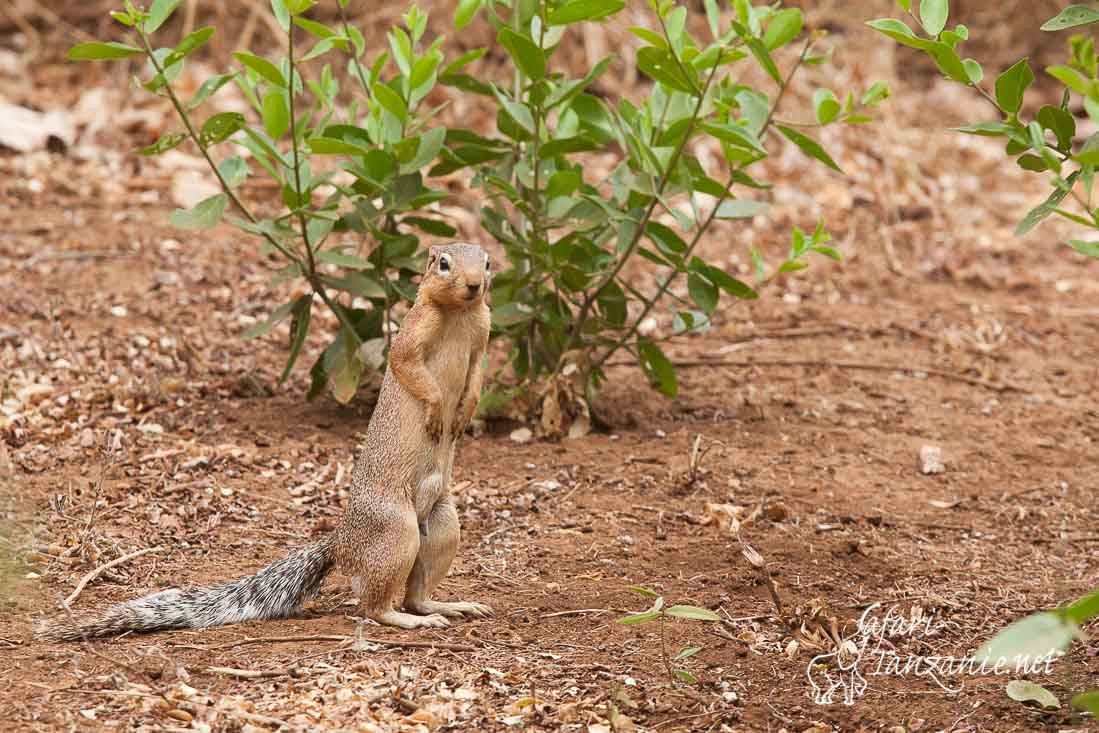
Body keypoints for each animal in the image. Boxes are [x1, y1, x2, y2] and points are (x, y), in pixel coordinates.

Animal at [37, 243, 494, 637]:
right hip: (396, 532)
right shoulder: (411, 336)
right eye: (444, 264)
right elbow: (408, 367)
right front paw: (437, 410)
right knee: (374, 606)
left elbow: (476, 379)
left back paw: (447, 607)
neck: (458, 314)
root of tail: (342, 541)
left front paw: (463, 414)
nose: (475, 284)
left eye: (488, 262)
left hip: (442, 526)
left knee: (416, 593)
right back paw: (409, 620)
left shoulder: (482, 340)